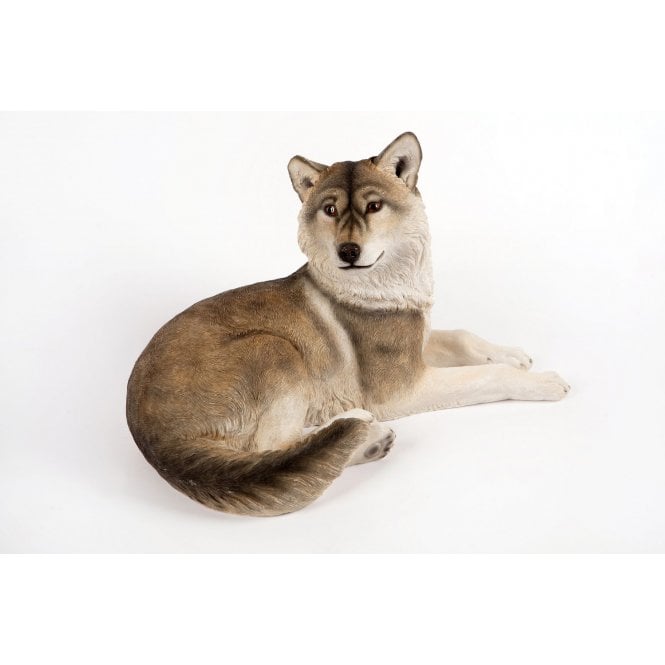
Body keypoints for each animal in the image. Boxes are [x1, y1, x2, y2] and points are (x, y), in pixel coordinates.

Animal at [126, 132, 569, 517]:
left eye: (374, 207)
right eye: (330, 210)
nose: (349, 251)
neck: (383, 286)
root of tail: (149, 433)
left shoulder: (419, 340)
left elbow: (463, 337)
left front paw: (512, 355)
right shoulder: (403, 389)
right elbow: (488, 376)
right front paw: (544, 382)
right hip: (274, 347)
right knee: (271, 448)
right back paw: (363, 437)